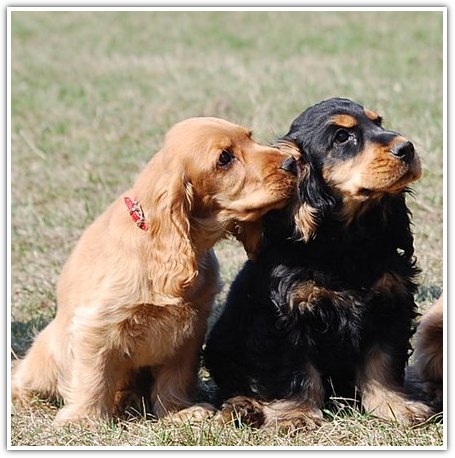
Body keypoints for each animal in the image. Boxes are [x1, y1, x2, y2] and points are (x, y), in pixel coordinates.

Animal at [207, 96, 434, 430]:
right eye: (342, 137)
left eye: (378, 122)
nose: (407, 148)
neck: (347, 239)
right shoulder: (286, 314)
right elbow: (296, 369)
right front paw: (296, 414)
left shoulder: (392, 302)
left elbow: (383, 361)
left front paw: (395, 406)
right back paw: (242, 407)